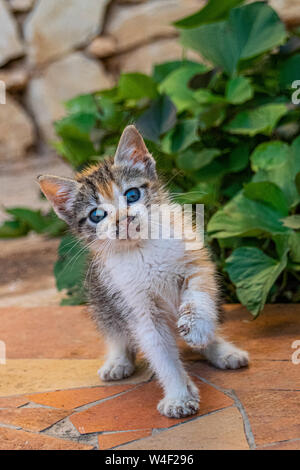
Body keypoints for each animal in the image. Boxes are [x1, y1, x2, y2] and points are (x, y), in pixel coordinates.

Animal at [38, 125, 248, 418]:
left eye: (132, 195)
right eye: (96, 215)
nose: (123, 219)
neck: (143, 249)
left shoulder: (195, 261)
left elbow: (199, 294)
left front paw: (197, 327)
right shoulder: (134, 305)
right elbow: (159, 351)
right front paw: (179, 395)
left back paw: (220, 349)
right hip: (100, 299)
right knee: (115, 332)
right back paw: (118, 361)